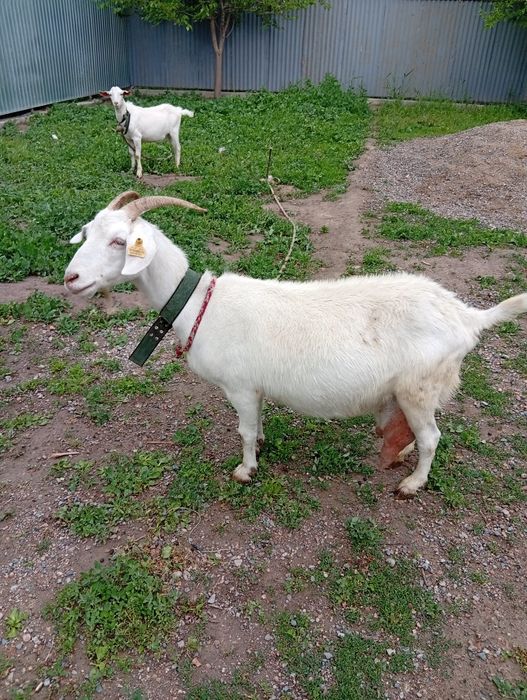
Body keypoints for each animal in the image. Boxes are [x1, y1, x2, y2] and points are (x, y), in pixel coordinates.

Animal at [64, 192, 527, 498]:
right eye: (86, 234)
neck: (199, 304)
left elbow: (244, 430)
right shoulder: (254, 388)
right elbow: (257, 423)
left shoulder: (239, 385)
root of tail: (466, 316)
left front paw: (246, 469)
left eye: (119, 242)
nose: (71, 279)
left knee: (432, 437)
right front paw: (261, 445)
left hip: (420, 386)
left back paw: (412, 484)